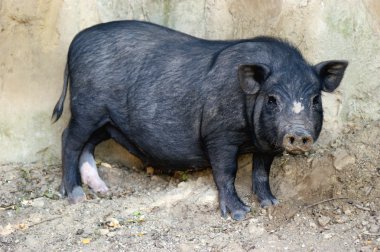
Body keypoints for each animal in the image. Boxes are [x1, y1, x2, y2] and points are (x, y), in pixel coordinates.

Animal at [52, 20, 348, 220]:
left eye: (315, 99)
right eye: (272, 99)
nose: (298, 132)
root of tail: (76, 41)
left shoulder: (266, 141)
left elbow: (262, 171)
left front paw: (272, 204)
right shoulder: (219, 134)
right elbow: (226, 172)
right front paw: (239, 214)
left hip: (107, 121)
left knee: (88, 144)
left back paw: (101, 190)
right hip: (87, 108)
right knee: (69, 139)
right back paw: (76, 197)